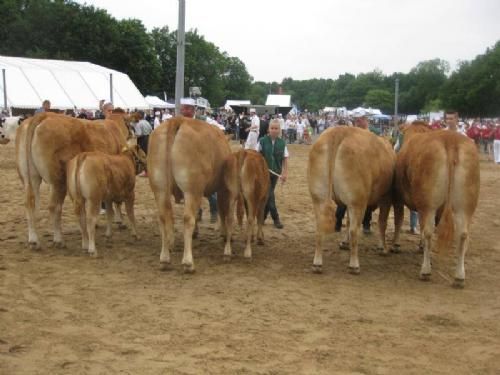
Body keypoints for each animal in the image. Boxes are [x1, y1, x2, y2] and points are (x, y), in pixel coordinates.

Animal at [15, 113, 134, 251]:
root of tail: (43, 115)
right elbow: (117, 202)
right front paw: (120, 222)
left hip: (29, 177)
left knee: (30, 204)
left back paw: (34, 241)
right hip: (58, 180)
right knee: (54, 207)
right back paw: (58, 240)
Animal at [146, 116, 238, 272]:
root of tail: (177, 120)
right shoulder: (222, 189)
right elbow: (222, 211)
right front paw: (225, 234)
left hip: (160, 187)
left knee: (164, 217)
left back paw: (165, 259)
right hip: (192, 189)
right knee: (188, 218)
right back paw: (188, 263)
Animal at [308, 128, 398, 274]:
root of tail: (340, 131)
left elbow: (349, 221)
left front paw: (344, 243)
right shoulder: (386, 197)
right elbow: (382, 223)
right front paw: (383, 248)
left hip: (319, 197)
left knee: (320, 228)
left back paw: (317, 264)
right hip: (358, 201)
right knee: (354, 231)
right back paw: (354, 265)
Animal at [394, 122, 480, 290]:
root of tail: (451, 140)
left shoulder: (400, 199)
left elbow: (401, 220)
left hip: (428, 204)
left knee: (428, 231)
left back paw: (425, 271)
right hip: (465, 205)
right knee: (463, 234)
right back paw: (459, 277)